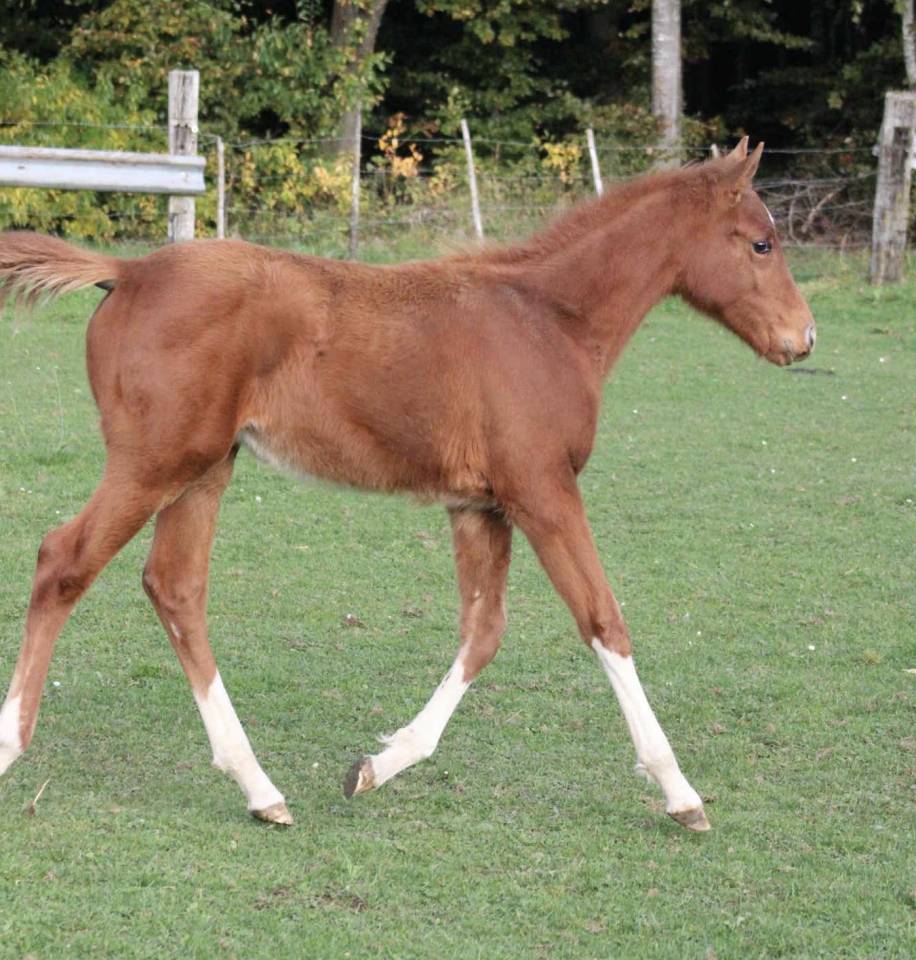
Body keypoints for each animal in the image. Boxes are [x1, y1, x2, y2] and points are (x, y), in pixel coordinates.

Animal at [0, 138, 814, 830]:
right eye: (761, 242)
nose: (804, 338)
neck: (548, 320)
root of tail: (130, 271)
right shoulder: (543, 492)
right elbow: (603, 620)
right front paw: (680, 792)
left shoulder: (479, 507)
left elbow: (483, 634)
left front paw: (378, 764)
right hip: (156, 461)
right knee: (63, 561)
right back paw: (13, 744)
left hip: (205, 468)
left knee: (174, 588)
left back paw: (261, 789)